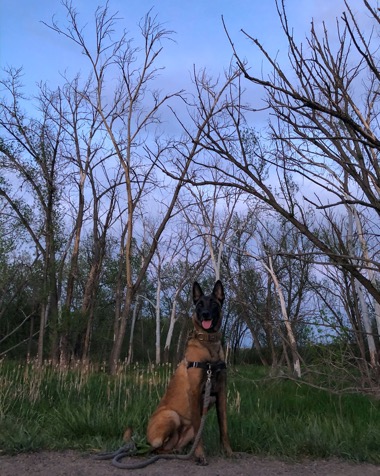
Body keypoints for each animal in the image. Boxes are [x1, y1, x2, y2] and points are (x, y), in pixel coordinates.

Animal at [145, 278, 232, 464]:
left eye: (213, 303)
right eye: (199, 304)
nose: (205, 314)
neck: (209, 344)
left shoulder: (221, 394)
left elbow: (224, 428)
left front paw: (229, 452)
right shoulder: (194, 393)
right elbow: (200, 433)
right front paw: (200, 455)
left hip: (185, 431)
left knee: (170, 447)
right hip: (172, 415)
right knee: (156, 448)